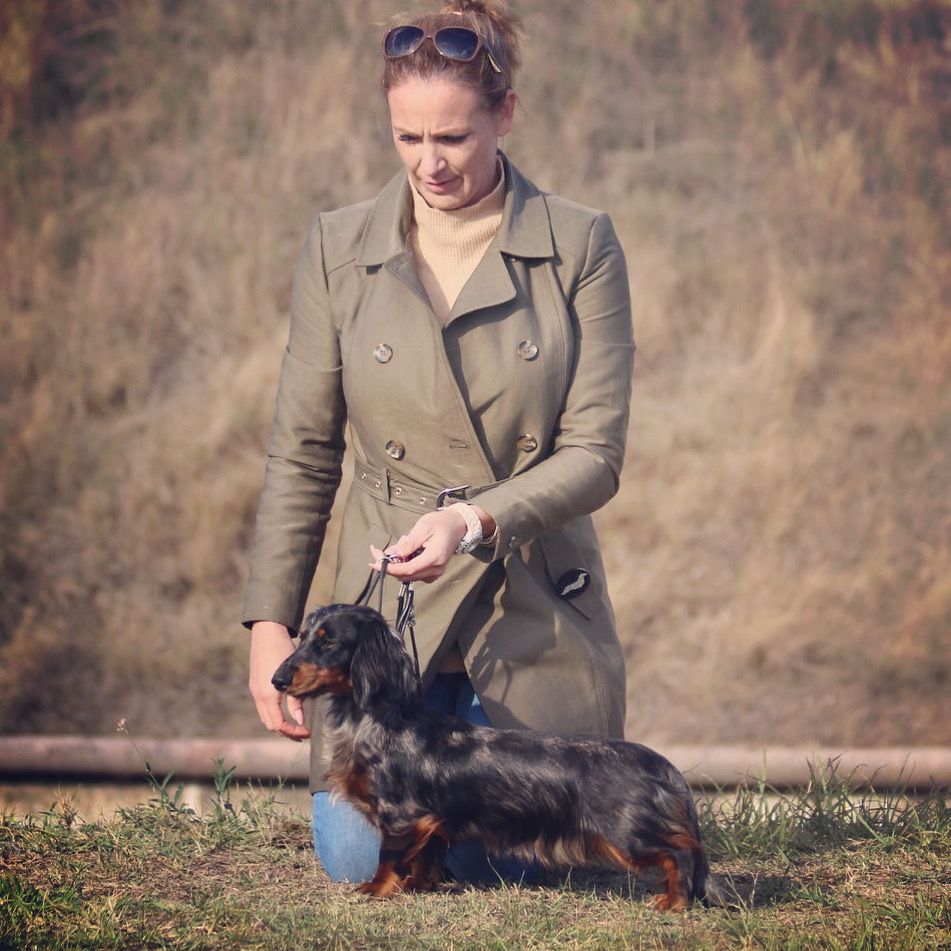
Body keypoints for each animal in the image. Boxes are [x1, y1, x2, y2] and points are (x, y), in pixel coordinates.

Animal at [272, 603, 727, 910]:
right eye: (302, 637)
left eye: (329, 641)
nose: (276, 679)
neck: (379, 719)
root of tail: (661, 764)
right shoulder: (429, 821)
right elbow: (424, 857)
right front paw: (420, 886)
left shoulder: (400, 815)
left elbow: (390, 857)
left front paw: (376, 888)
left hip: (626, 833)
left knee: (682, 852)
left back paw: (674, 901)